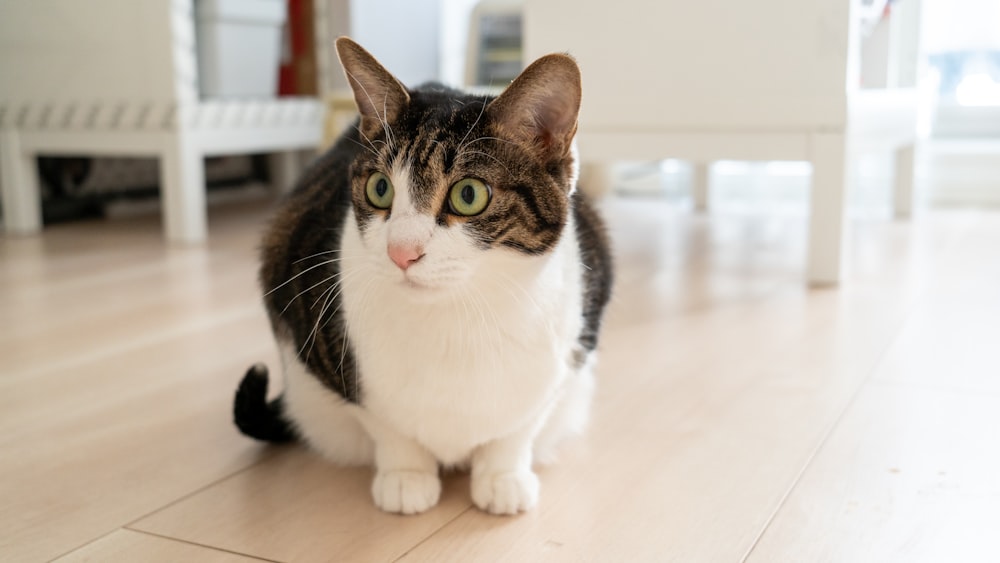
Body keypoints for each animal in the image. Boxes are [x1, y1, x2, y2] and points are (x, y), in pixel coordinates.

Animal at [234, 37, 612, 516]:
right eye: (379, 188)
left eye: (468, 195)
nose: (401, 252)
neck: (457, 317)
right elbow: (384, 422)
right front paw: (406, 475)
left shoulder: (574, 340)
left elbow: (521, 424)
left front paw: (503, 476)